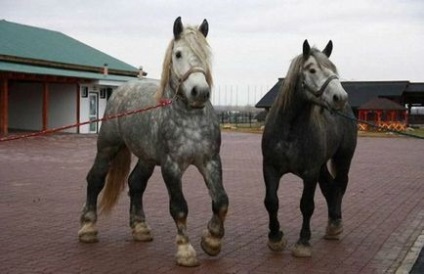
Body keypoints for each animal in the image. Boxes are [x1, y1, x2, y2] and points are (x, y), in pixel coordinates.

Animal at [77, 16, 229, 266]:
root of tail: (123, 90)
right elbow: (179, 207)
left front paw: (212, 241)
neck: (190, 119)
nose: (199, 91)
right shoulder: (171, 167)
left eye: (206, 54)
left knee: (136, 183)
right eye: (178, 54)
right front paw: (185, 251)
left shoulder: (211, 161)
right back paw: (88, 228)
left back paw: (140, 228)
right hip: (108, 147)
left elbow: (221, 202)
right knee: (95, 179)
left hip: (147, 158)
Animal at [262, 40, 358, 256]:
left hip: (343, 158)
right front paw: (275, 238)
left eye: (333, 69)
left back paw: (335, 225)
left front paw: (303, 242)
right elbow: (271, 202)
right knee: (330, 187)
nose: (340, 97)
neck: (290, 131)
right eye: (312, 70)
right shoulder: (270, 168)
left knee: (340, 185)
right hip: (322, 166)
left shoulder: (310, 173)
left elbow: (307, 205)